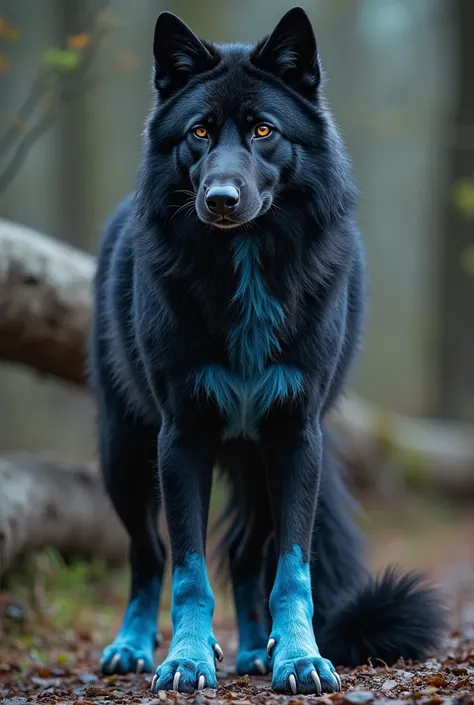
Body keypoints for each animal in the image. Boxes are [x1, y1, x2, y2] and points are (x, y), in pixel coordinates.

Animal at [88, 8, 444, 696]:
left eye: (263, 130)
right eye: (200, 132)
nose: (221, 199)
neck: (247, 260)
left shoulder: (296, 436)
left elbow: (292, 570)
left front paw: (299, 659)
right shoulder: (181, 437)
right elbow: (189, 571)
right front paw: (187, 661)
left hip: (255, 468)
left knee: (249, 557)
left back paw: (257, 651)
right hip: (124, 455)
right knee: (148, 555)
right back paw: (132, 646)